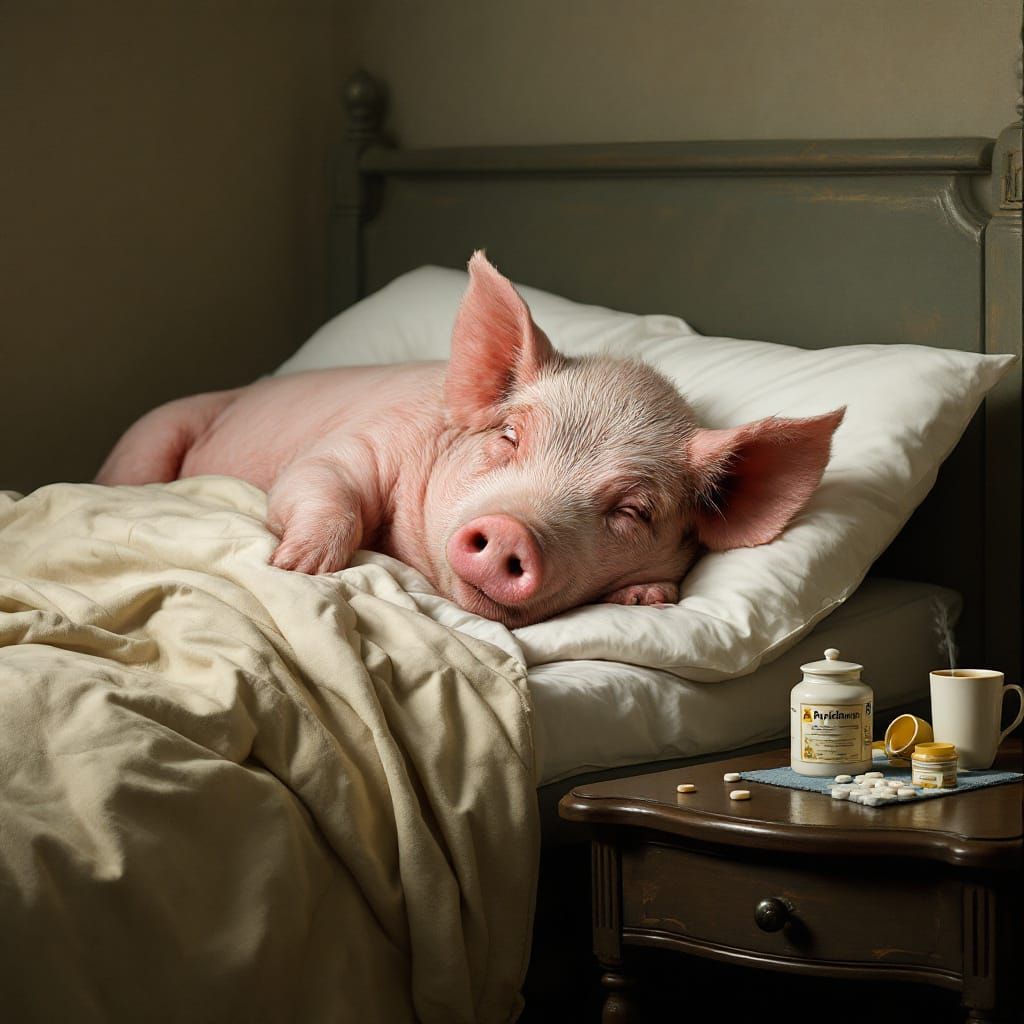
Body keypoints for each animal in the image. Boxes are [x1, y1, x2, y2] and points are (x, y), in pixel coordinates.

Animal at [96, 253, 844, 628]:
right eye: (509, 437)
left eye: (633, 511)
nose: (511, 530)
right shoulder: (354, 443)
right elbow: (322, 482)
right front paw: (298, 567)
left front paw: (645, 599)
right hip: (150, 436)